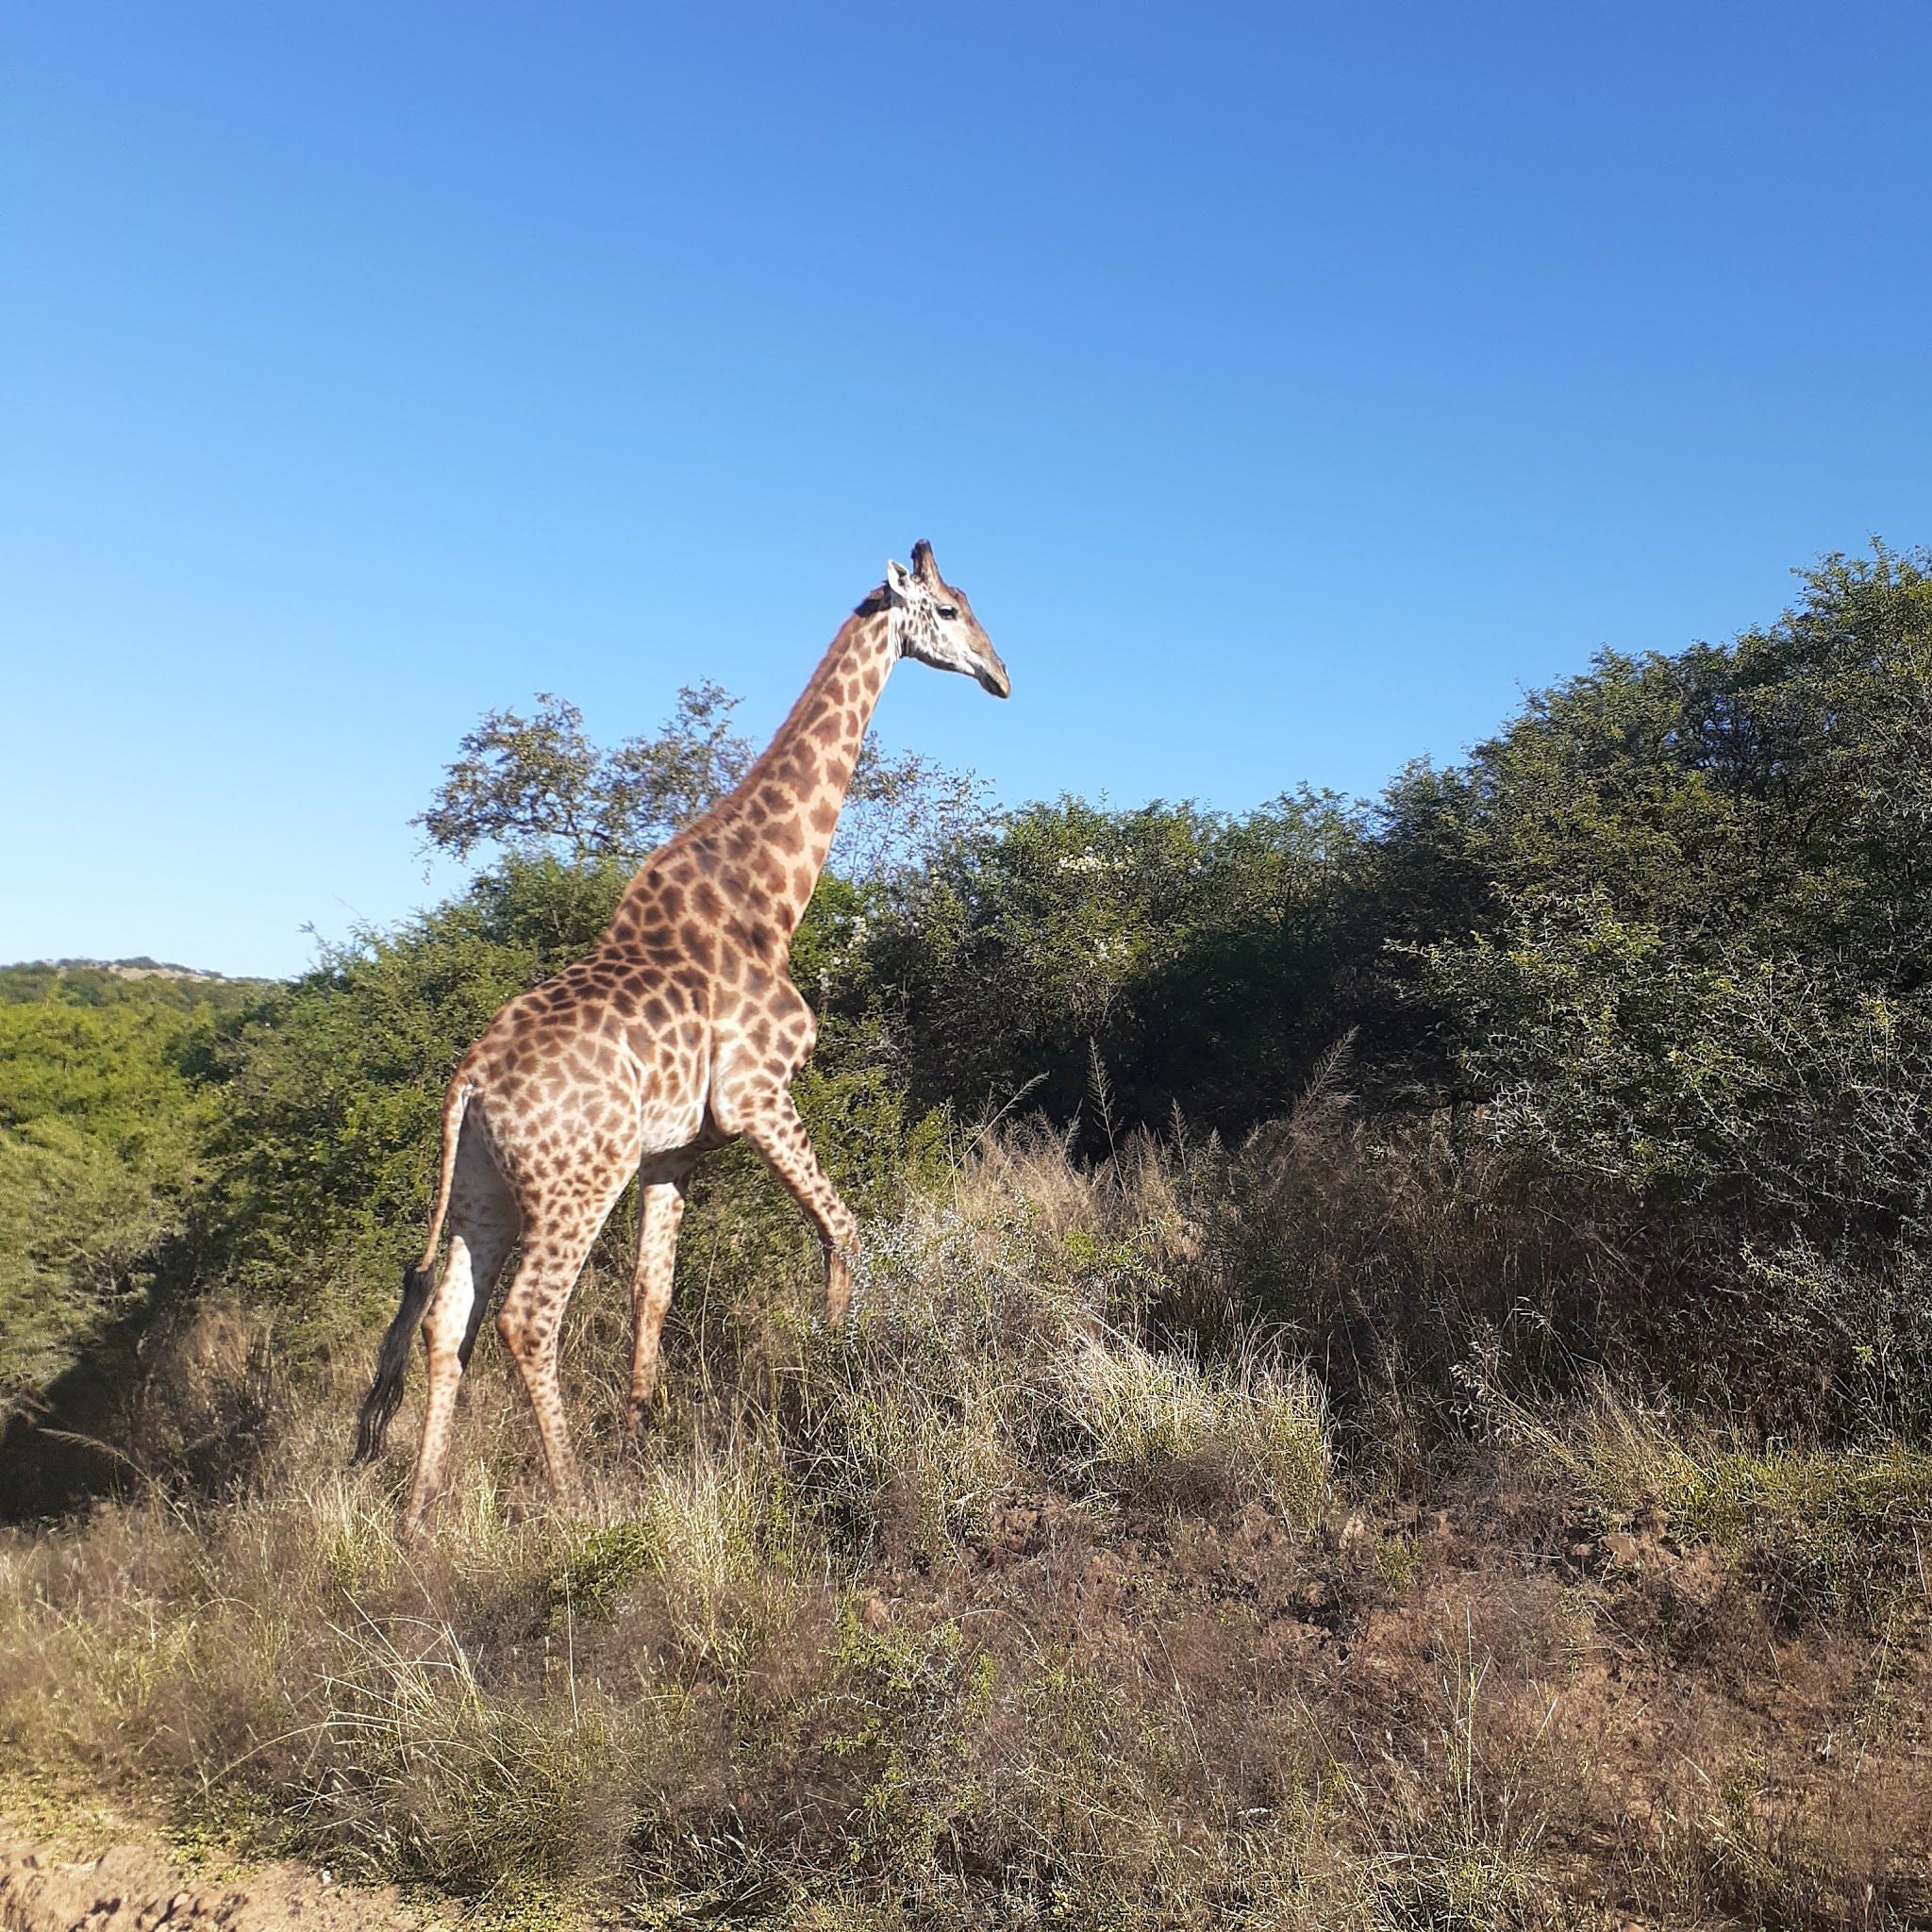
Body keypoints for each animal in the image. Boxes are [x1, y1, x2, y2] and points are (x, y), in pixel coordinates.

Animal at [351, 541, 1012, 1522]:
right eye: (949, 610)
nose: (1003, 676)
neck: (769, 898)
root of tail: (468, 1080)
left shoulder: (676, 1149)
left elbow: (652, 1294)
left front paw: (639, 1441)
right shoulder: (757, 1095)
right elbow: (844, 1231)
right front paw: (833, 1378)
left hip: (481, 1192)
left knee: (448, 1321)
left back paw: (422, 1512)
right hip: (577, 1182)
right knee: (526, 1317)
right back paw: (572, 1497)